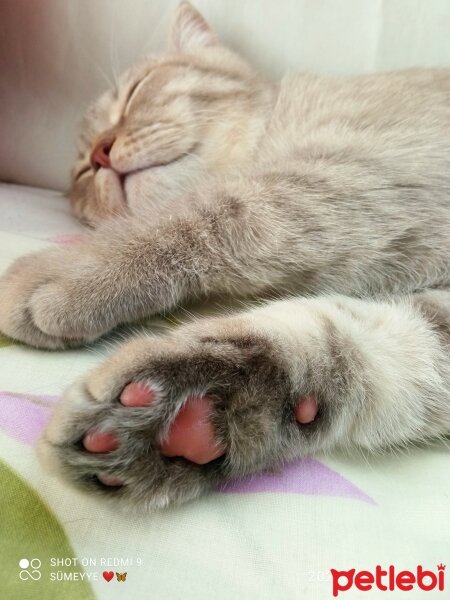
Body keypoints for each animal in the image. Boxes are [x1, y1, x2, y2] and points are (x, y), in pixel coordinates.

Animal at [0, 1, 450, 510]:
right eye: (80, 173)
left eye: (136, 92)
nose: (98, 153)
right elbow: (358, 348)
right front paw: (198, 412)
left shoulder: (364, 175)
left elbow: (212, 208)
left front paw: (69, 270)